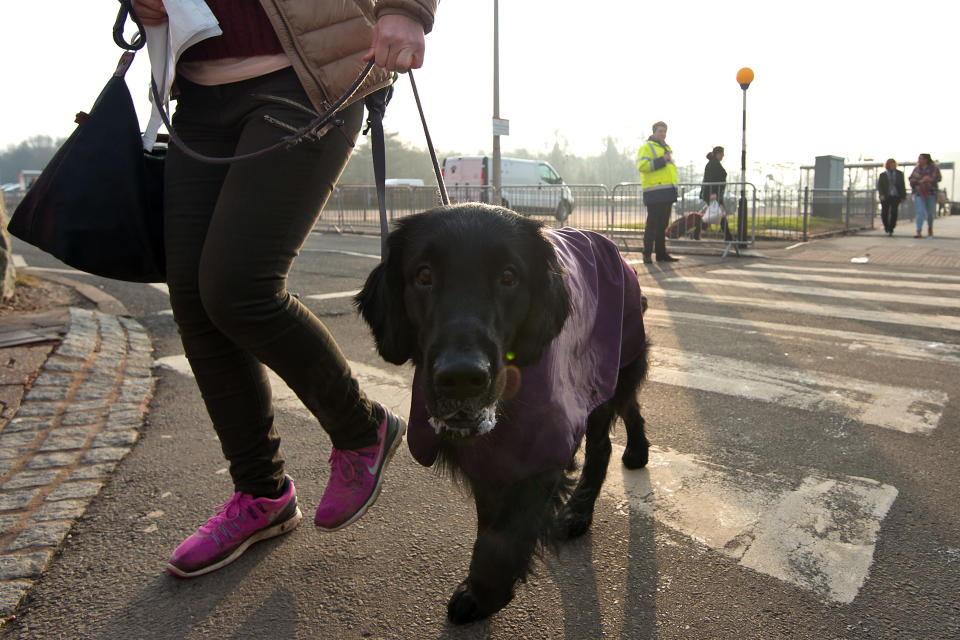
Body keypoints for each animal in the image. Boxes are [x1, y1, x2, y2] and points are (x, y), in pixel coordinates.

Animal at [356, 205, 648, 624]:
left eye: (509, 276)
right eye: (424, 275)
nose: (462, 377)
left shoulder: (543, 446)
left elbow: (503, 540)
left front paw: (481, 597)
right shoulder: (492, 455)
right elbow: (490, 522)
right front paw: (482, 589)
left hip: (607, 372)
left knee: (605, 442)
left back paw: (581, 509)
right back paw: (634, 455)